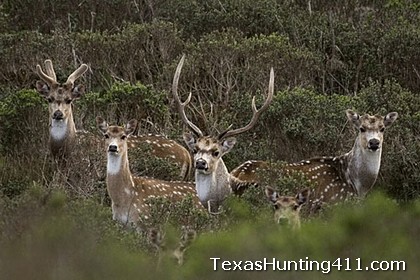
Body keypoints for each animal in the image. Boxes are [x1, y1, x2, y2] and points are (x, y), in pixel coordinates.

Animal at [231, 109, 398, 210]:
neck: (357, 185)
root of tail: (237, 174)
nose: (374, 143)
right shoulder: (334, 203)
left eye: (382, 128)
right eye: (361, 128)